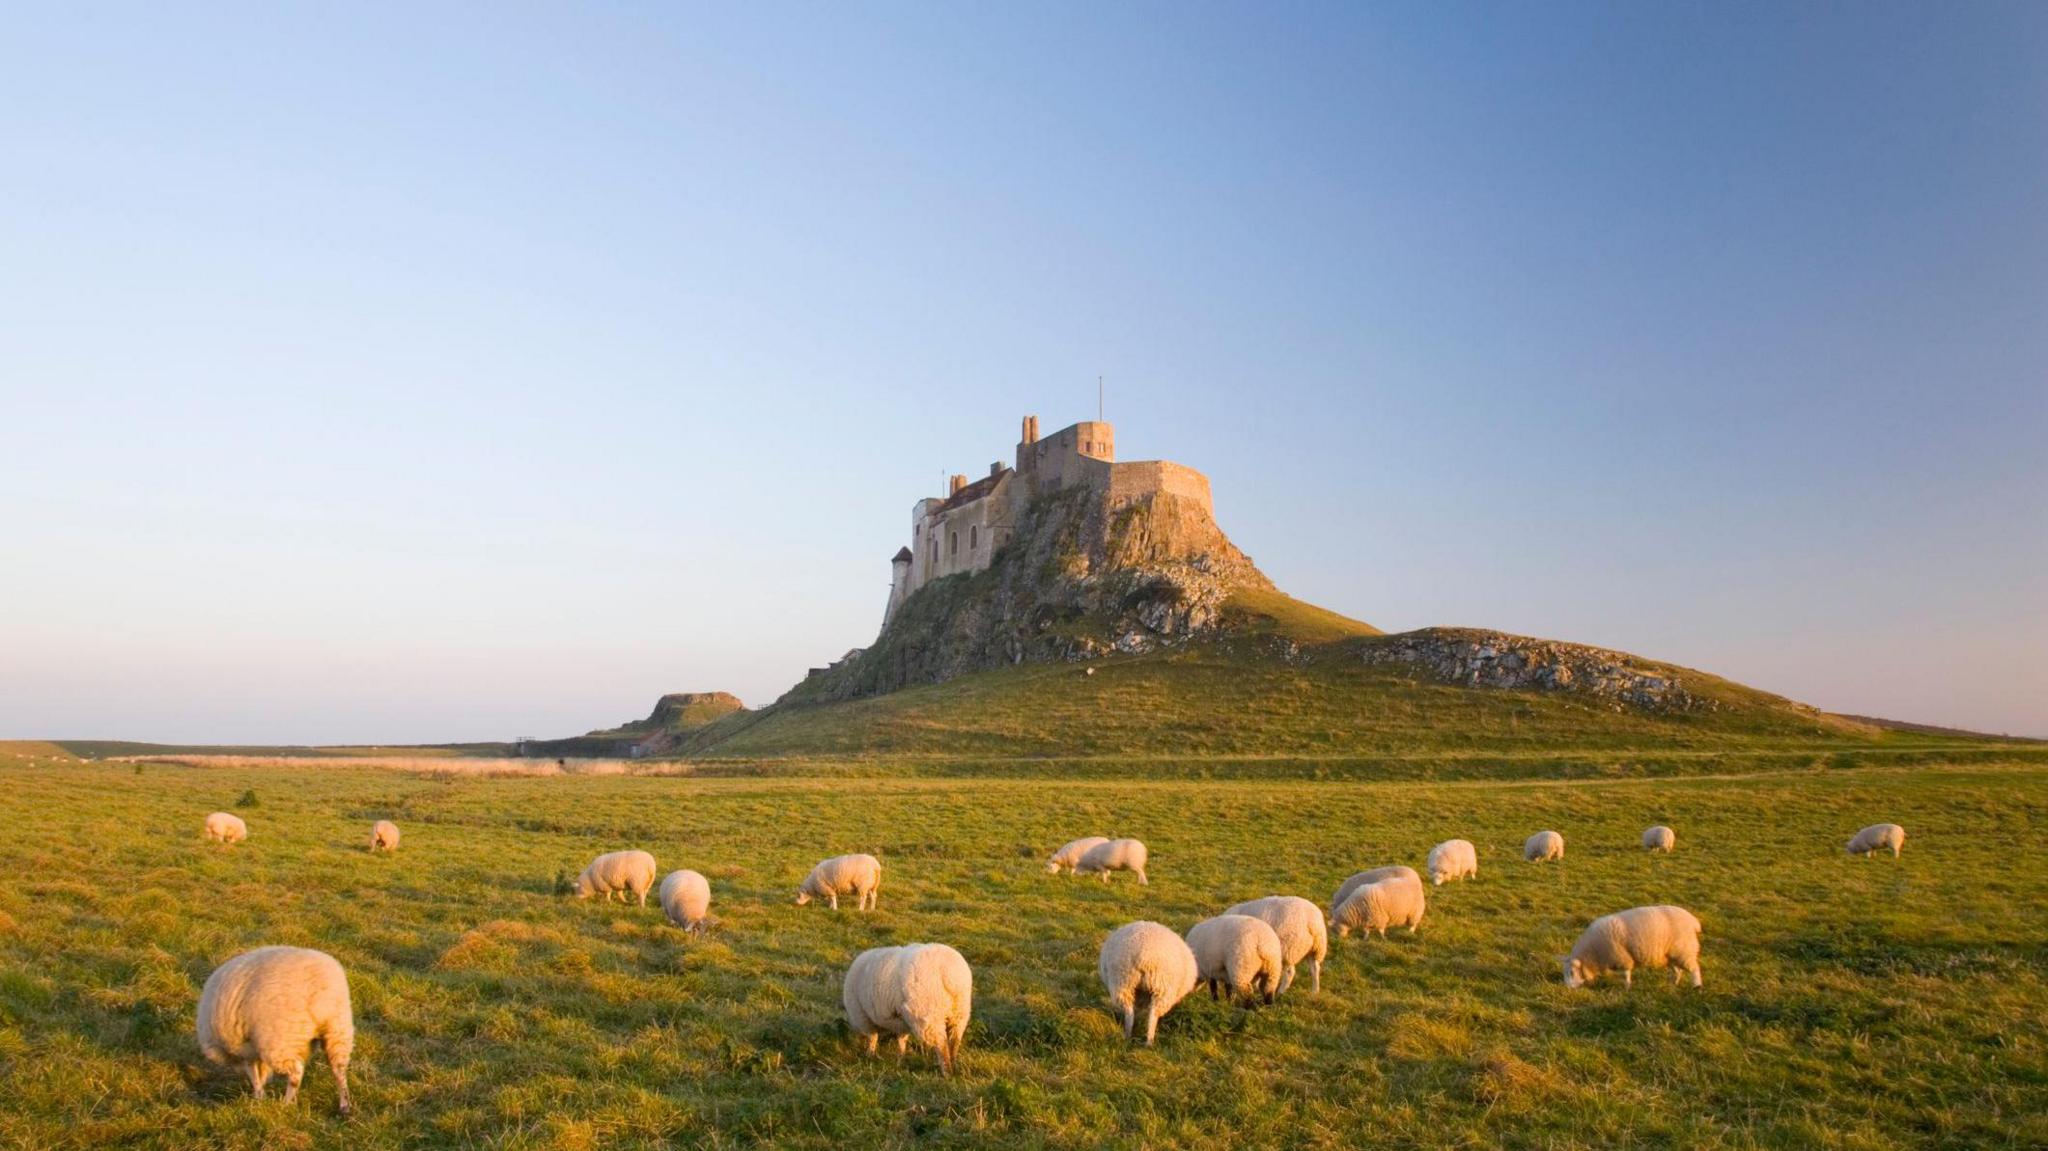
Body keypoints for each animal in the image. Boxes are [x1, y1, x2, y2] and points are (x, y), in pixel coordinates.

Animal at [196, 942, 356, 1114]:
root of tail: (321, 996)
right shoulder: (251, 1049)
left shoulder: (246, 1049)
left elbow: (253, 1074)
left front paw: (259, 1097)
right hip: (337, 1029)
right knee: (338, 1069)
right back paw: (345, 1106)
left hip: (282, 1038)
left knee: (296, 1072)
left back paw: (286, 1104)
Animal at [839, 938, 966, 1073]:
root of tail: (949, 974)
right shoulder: (901, 1023)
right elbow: (901, 1040)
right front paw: (900, 1058)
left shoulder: (863, 1017)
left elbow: (873, 1037)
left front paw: (870, 1055)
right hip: (959, 1013)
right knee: (954, 1040)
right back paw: (953, 1063)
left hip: (929, 1013)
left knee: (941, 1045)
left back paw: (947, 1070)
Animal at [1556, 901, 1703, 983]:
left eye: (1571, 972)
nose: (1568, 989)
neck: (1593, 953)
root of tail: (1693, 920)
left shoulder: (1622, 957)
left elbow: (1626, 974)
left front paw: (1627, 987)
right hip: (1671, 955)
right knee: (1678, 971)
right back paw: (1674, 983)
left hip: (1685, 949)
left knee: (1694, 969)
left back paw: (1697, 986)